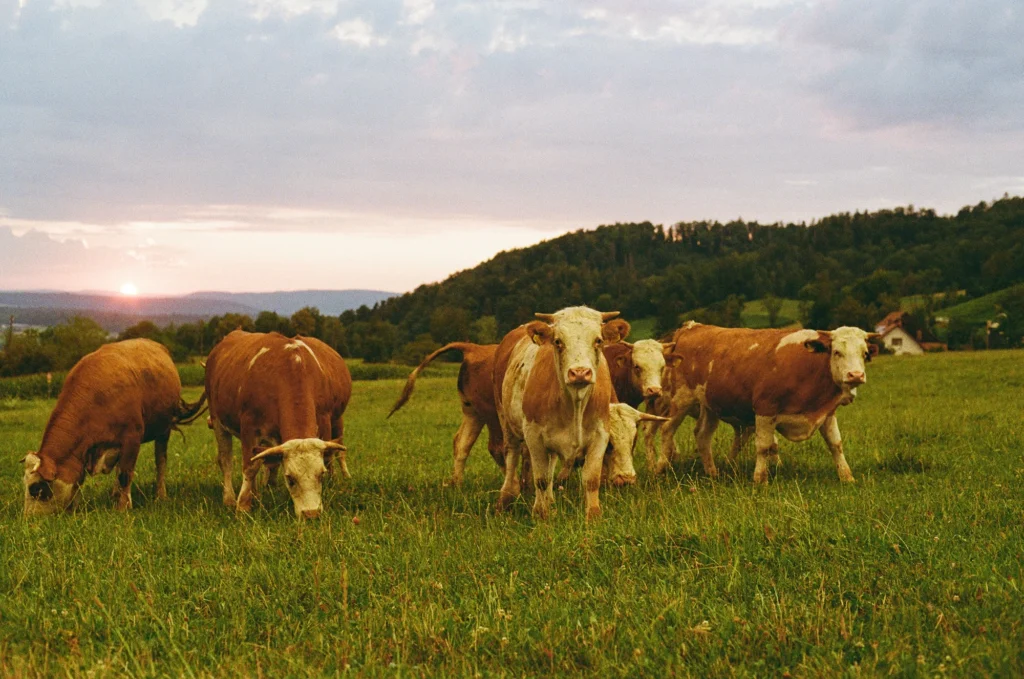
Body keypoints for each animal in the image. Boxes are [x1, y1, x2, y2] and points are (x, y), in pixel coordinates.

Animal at [22, 339, 207, 516]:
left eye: (36, 488)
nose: (28, 518)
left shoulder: (132, 438)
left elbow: (125, 474)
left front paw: (122, 507)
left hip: (163, 429)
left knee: (160, 461)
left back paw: (160, 495)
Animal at [204, 330, 351, 518]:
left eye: (321, 475)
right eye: (290, 478)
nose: (311, 514)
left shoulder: (325, 421)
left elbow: (327, 459)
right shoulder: (249, 427)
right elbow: (250, 467)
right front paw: (243, 505)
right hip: (217, 421)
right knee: (226, 461)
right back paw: (229, 498)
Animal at [387, 341, 506, 484]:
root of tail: (474, 348)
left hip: (474, 413)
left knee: (461, 443)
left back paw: (458, 483)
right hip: (492, 414)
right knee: (497, 448)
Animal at [493, 306, 629, 520]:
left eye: (598, 340)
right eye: (558, 341)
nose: (580, 372)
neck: (574, 404)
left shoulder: (600, 434)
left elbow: (591, 479)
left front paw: (593, 517)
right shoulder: (533, 435)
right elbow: (541, 479)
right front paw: (542, 516)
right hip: (505, 420)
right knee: (511, 455)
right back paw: (505, 498)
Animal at [662, 322, 877, 483]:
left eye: (864, 353)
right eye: (837, 352)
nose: (856, 375)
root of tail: (692, 326)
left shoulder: (825, 412)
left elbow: (835, 444)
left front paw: (846, 476)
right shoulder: (765, 409)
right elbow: (764, 446)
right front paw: (760, 479)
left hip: (710, 405)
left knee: (702, 435)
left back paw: (712, 473)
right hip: (680, 399)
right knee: (667, 430)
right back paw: (660, 468)